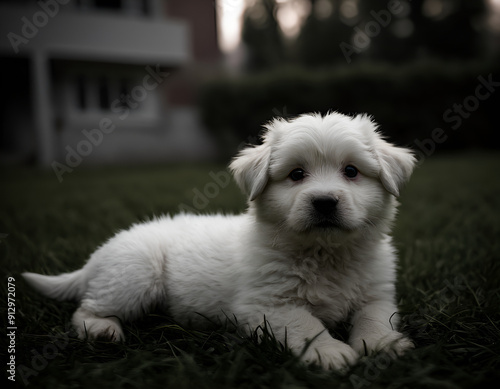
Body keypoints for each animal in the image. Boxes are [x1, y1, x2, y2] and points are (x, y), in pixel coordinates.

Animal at [22, 111, 414, 370]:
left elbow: (376, 317)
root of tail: (101, 253)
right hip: (135, 274)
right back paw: (103, 329)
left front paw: (383, 345)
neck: (325, 253)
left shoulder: (377, 292)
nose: (324, 202)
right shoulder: (267, 305)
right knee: (85, 308)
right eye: (296, 174)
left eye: (351, 171)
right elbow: (306, 325)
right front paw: (330, 352)